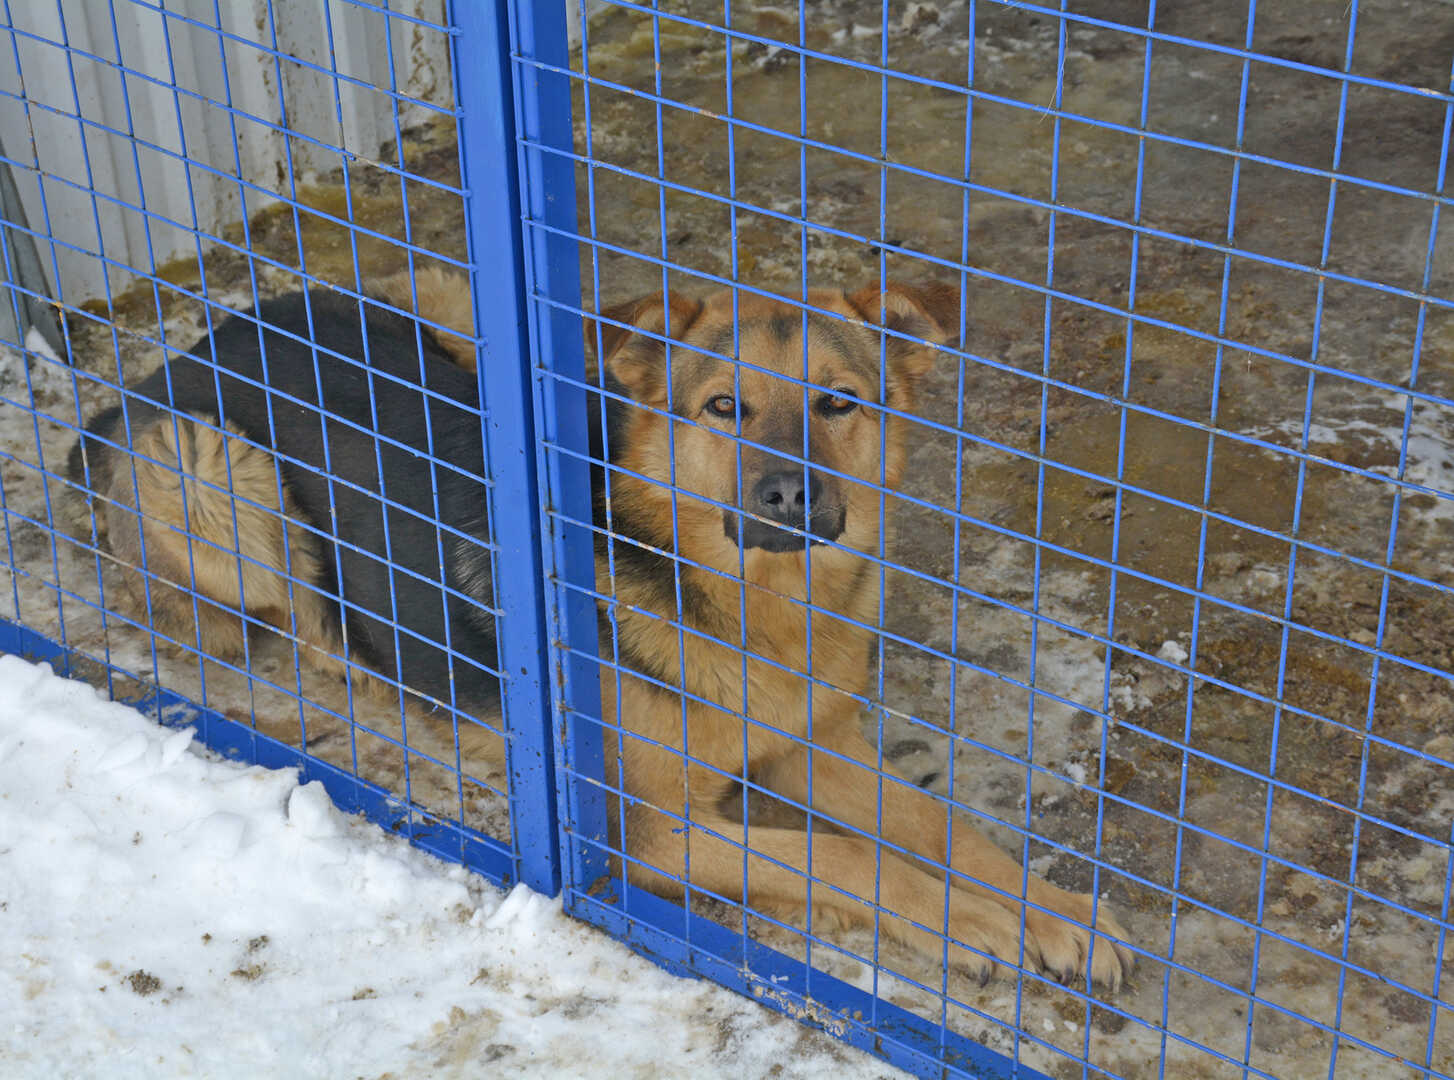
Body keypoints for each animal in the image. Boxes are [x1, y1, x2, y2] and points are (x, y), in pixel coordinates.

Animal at [68, 268, 1134, 988]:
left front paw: (1059, 914)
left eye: (841, 402)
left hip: (456, 309)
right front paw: (977, 926)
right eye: (724, 406)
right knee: (265, 613)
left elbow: (941, 826)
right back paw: (354, 660)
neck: (756, 612)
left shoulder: (812, 745)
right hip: (213, 468)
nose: (793, 495)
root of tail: (177, 357)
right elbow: (849, 859)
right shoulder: (654, 836)